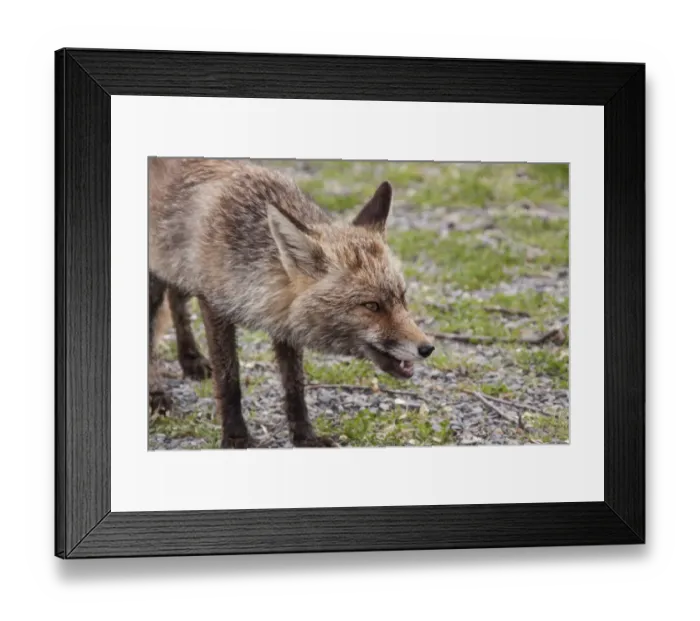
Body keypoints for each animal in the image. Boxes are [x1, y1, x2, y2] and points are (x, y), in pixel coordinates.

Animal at [148, 157, 435, 448]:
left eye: (402, 298)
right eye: (372, 306)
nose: (428, 348)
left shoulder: (283, 317)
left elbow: (294, 384)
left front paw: (305, 436)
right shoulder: (214, 305)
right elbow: (229, 380)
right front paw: (236, 435)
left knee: (176, 300)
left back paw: (190, 358)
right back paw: (156, 394)